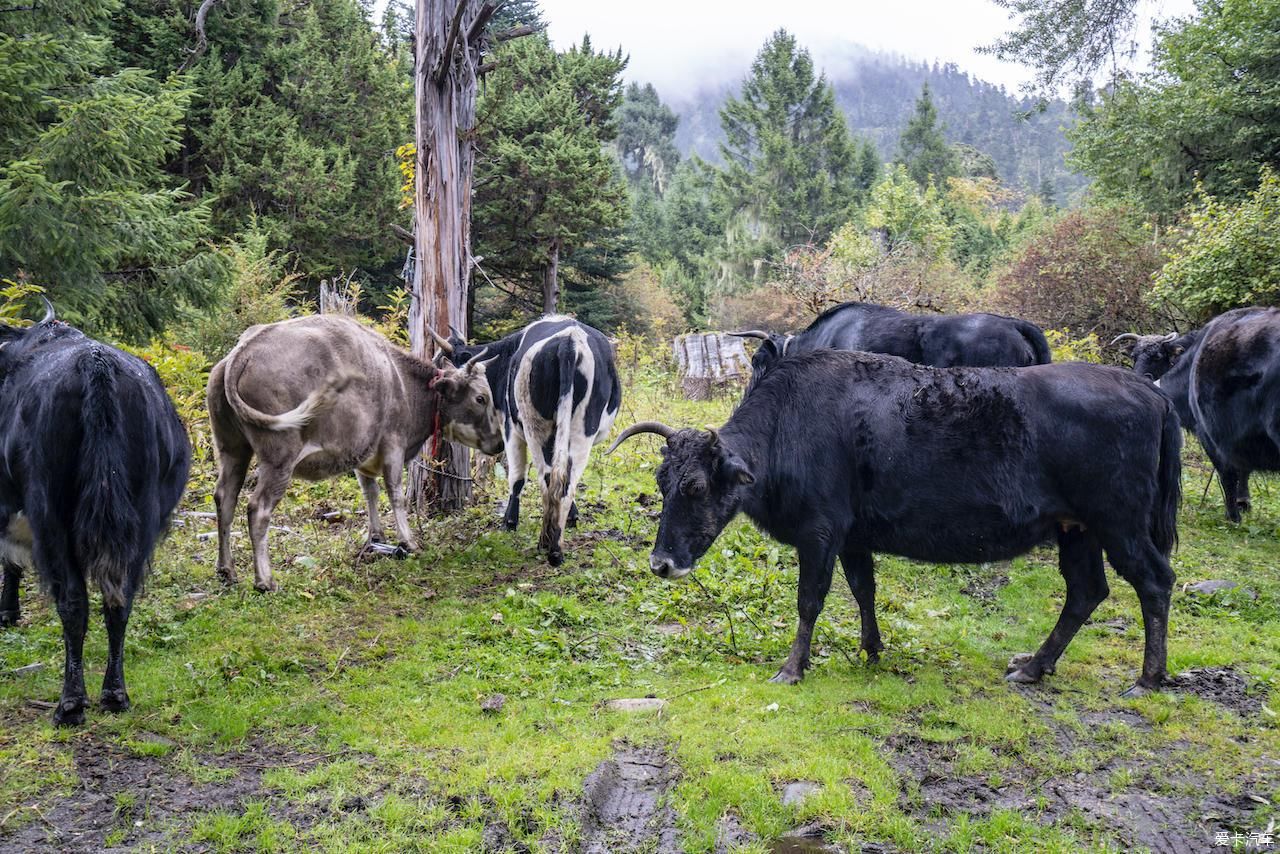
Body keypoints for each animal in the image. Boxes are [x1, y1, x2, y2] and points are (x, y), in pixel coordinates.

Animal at [0, 303, 189, 727]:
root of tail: (95, 364)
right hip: (142, 515)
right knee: (119, 599)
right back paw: (115, 694)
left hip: (50, 514)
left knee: (73, 601)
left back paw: (70, 704)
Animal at [209, 316, 504, 594]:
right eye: (481, 398)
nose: (500, 443)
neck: (404, 384)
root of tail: (242, 351)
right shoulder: (393, 445)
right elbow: (395, 494)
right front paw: (408, 541)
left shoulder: (362, 455)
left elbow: (369, 491)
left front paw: (376, 537)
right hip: (279, 457)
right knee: (258, 508)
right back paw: (265, 581)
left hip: (232, 449)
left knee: (225, 498)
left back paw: (227, 570)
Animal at [432, 317, 622, 563]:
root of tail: (570, 342)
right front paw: (572, 517)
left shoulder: (510, 428)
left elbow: (516, 477)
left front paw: (509, 522)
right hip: (582, 430)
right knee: (566, 480)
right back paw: (556, 546)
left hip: (535, 428)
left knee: (548, 478)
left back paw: (547, 544)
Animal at [609, 350, 1177, 696]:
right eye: (661, 480)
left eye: (695, 487)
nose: (661, 563)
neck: (789, 425)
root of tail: (1150, 392)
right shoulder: (853, 538)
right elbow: (864, 590)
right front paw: (871, 649)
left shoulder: (820, 533)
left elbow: (810, 601)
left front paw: (792, 668)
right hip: (1077, 530)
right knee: (1086, 591)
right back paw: (1034, 667)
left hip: (1120, 523)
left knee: (1154, 581)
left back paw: (1148, 678)